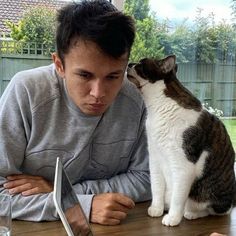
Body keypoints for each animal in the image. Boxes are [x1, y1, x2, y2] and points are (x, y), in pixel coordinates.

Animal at [127, 55, 236, 227]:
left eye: (142, 65)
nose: (130, 64)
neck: (157, 107)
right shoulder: (155, 158)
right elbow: (156, 187)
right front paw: (156, 208)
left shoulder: (183, 165)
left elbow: (178, 197)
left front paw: (173, 218)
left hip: (211, 195)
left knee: (215, 210)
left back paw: (191, 213)